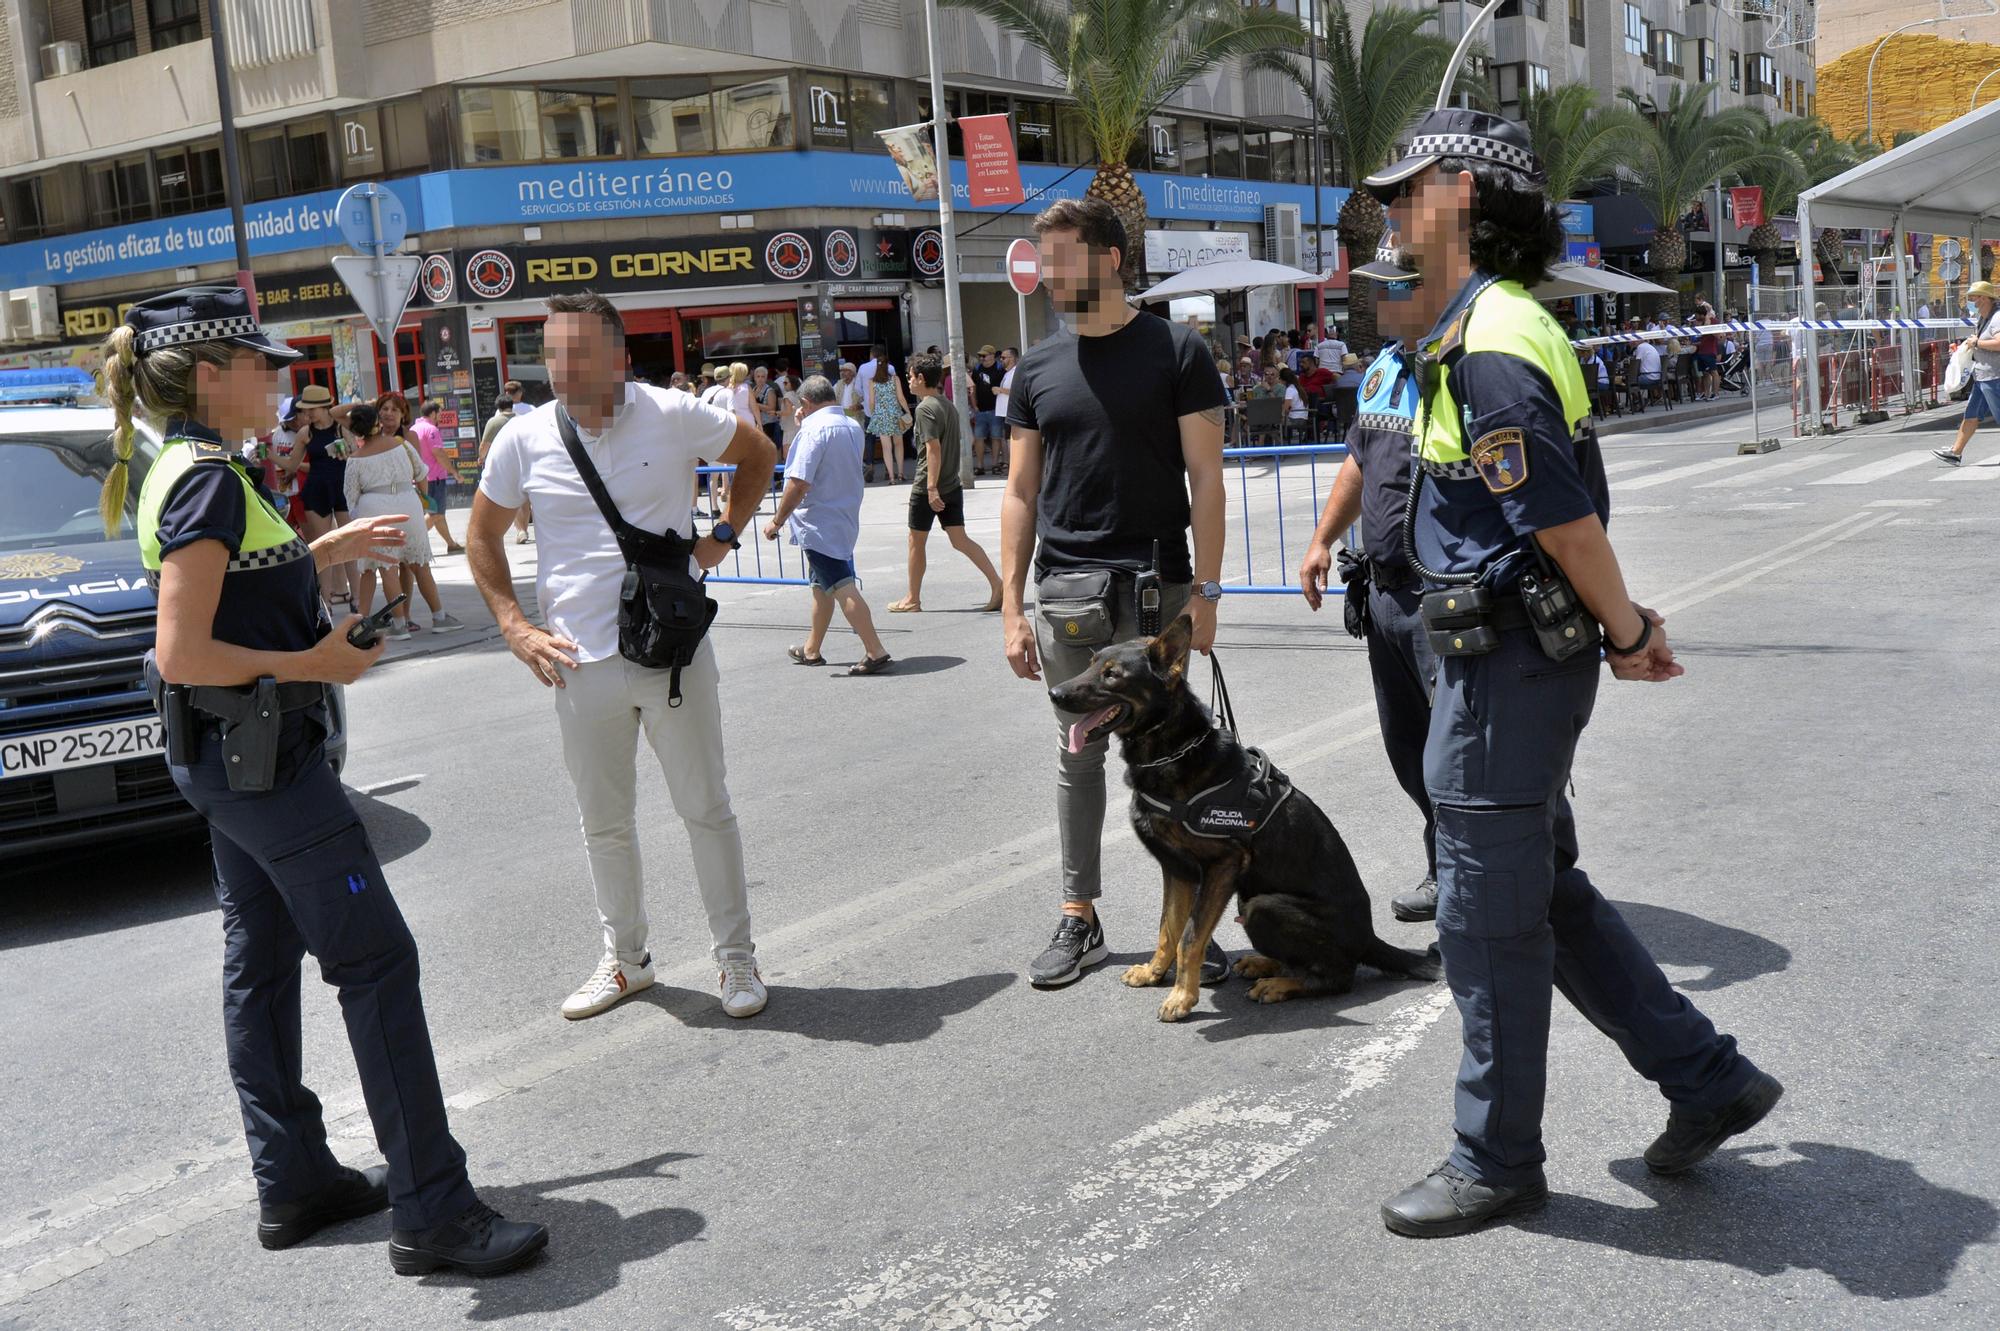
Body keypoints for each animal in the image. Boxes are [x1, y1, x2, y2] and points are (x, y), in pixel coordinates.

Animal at [1048, 611, 1440, 1015]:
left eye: (1112, 674)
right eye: (1091, 663)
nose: (1054, 694)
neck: (1172, 750)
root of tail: (1370, 938)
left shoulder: (1222, 865)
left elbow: (1190, 937)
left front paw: (1182, 997)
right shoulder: (1177, 871)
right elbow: (1168, 930)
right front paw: (1155, 973)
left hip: (1261, 905)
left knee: (1338, 976)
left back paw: (1280, 984)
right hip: (1247, 895)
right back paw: (1264, 964)